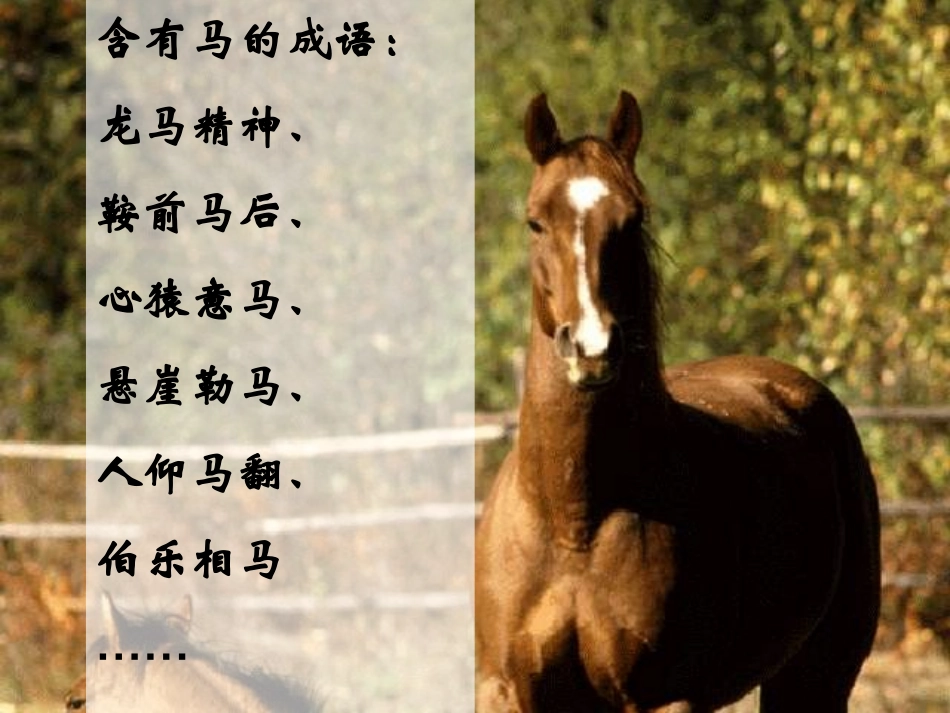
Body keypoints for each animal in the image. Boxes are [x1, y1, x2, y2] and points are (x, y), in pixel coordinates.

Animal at [474, 91, 880, 713]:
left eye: (633, 218)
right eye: (535, 220)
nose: (592, 348)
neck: (574, 520)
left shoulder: (665, 698)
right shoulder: (504, 692)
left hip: (819, 673)